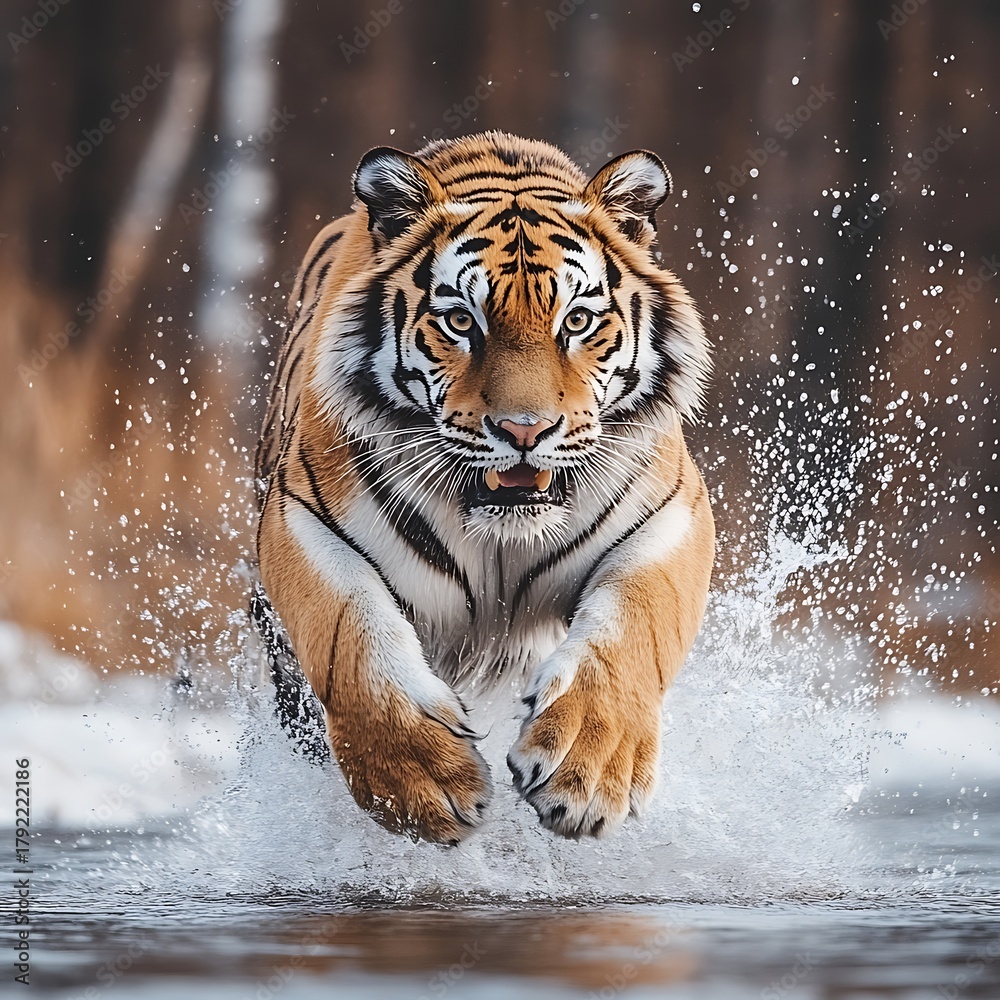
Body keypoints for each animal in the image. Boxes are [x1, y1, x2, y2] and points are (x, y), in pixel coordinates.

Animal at [254, 130, 714, 844]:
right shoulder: (302, 516)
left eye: (576, 322)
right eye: (462, 322)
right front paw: (423, 781)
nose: (525, 430)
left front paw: (586, 772)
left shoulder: (671, 516)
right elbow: (349, 630)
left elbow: (634, 628)